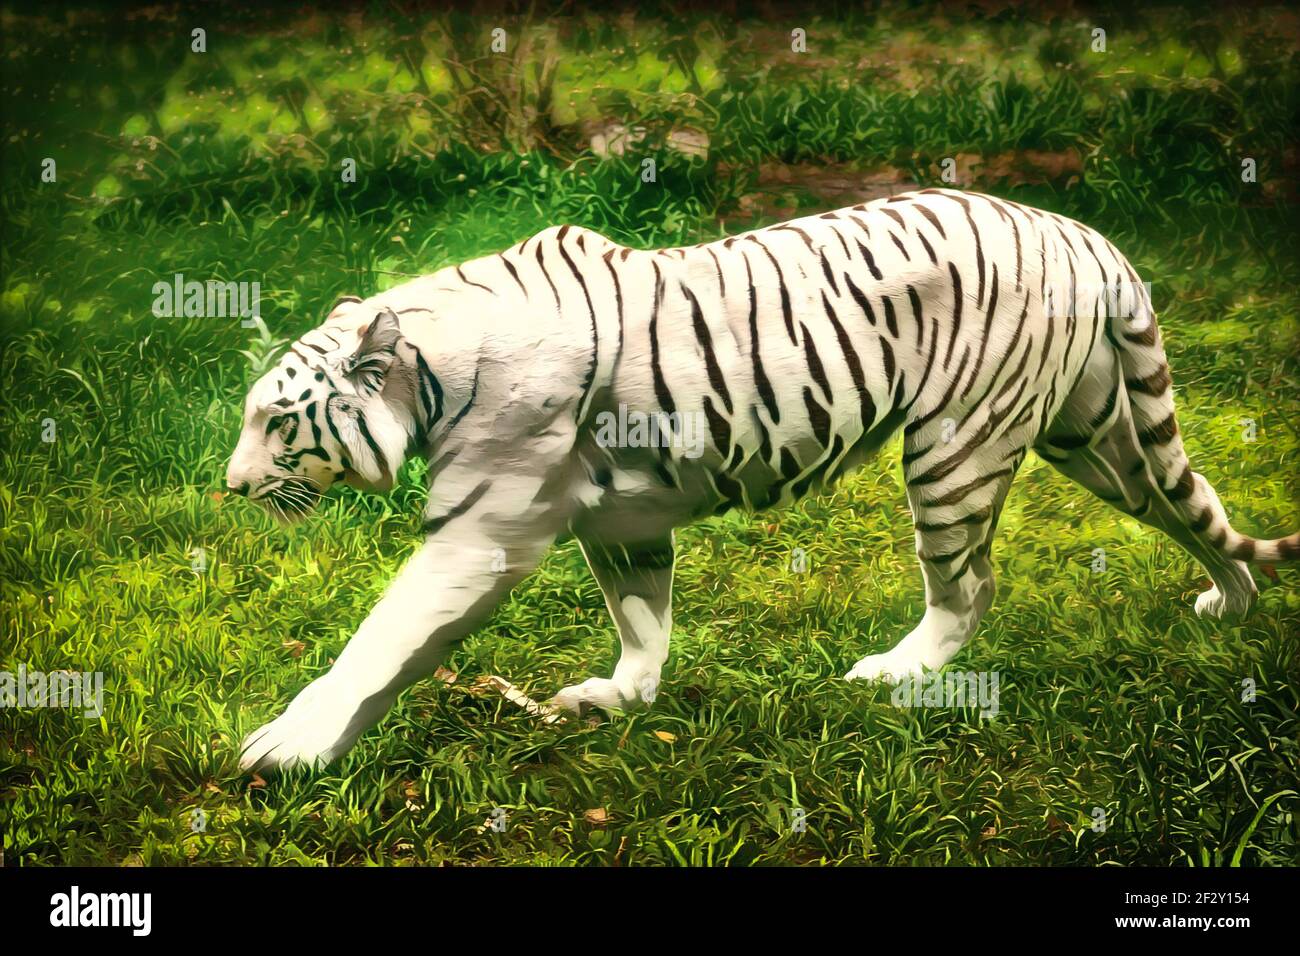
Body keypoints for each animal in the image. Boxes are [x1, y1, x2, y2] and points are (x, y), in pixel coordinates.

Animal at [228, 187, 1294, 770]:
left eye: (276, 421)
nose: (230, 492)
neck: (432, 375)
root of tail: (1085, 234)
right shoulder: (619, 520)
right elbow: (642, 615)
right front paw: (624, 697)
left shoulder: (482, 532)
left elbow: (381, 640)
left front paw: (291, 747)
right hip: (1096, 434)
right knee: (1193, 504)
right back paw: (1230, 606)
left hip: (956, 445)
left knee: (971, 585)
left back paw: (898, 671)